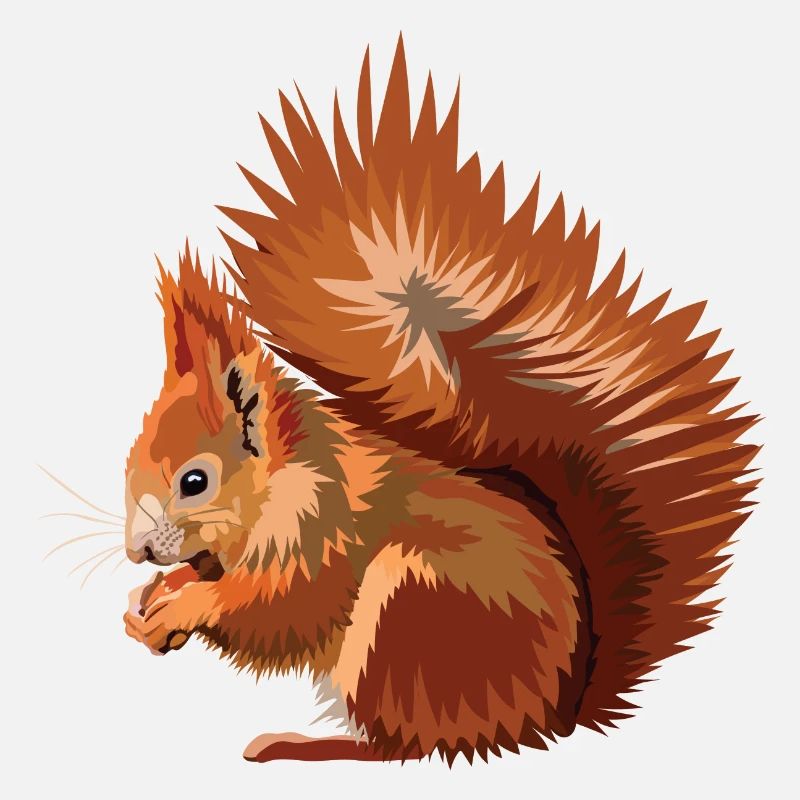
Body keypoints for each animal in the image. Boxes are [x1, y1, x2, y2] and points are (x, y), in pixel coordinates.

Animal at [121, 38, 759, 765]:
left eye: (195, 481)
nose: (136, 552)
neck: (280, 482)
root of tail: (555, 714)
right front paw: (154, 598)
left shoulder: (322, 530)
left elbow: (279, 612)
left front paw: (185, 605)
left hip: (411, 616)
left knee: (404, 747)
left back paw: (304, 745)